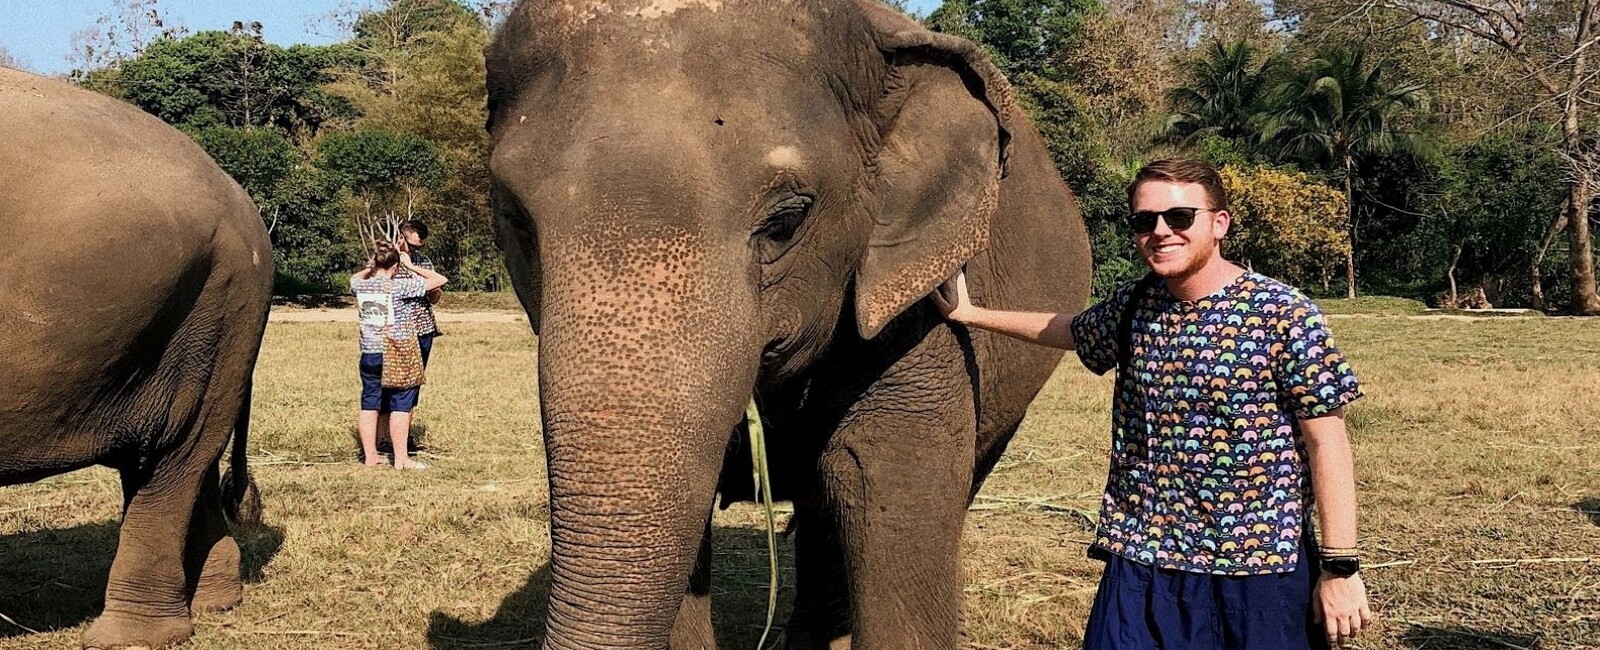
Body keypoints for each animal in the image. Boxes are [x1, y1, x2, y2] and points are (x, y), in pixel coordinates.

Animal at [0, 68, 270, 646]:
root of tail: (238, 192)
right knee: (181, 462)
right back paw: (217, 602)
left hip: (218, 308)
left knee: (173, 457)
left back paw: (129, 636)